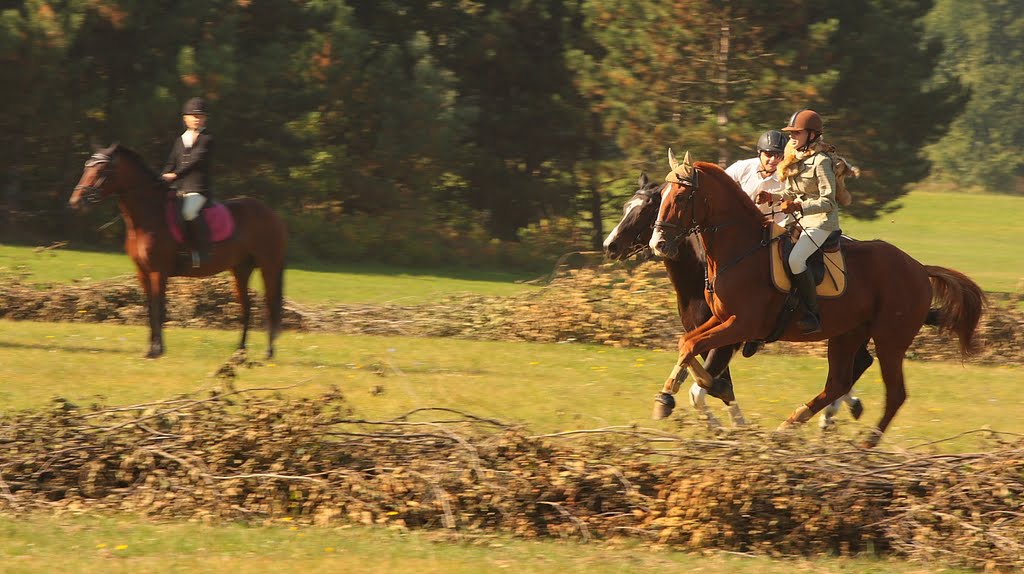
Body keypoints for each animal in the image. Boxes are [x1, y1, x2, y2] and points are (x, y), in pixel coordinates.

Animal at [68, 143, 286, 358]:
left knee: (269, 304)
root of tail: (270, 212)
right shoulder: (143, 272)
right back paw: (240, 352)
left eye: (102, 170)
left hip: (269, 266)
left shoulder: (158, 272)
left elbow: (158, 309)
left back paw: (268, 353)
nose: (76, 202)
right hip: (241, 269)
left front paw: (157, 350)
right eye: (87, 167)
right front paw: (151, 349)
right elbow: (150, 308)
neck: (149, 216)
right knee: (246, 308)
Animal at [602, 171, 868, 427]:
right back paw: (840, 408)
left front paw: (727, 424)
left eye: (646, 210)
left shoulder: (729, 337)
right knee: (858, 364)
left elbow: (705, 387)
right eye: (626, 206)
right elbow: (706, 376)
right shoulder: (708, 333)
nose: (610, 246)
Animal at [647, 150, 983, 446]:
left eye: (680, 198)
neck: (740, 250)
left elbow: (693, 347)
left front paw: (686, 391)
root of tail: (918, 268)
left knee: (894, 393)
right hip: (848, 334)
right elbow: (687, 343)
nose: (658, 244)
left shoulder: (740, 325)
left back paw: (866, 444)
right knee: (838, 383)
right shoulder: (721, 320)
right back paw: (789, 425)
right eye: (661, 198)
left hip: (891, 340)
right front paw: (677, 392)